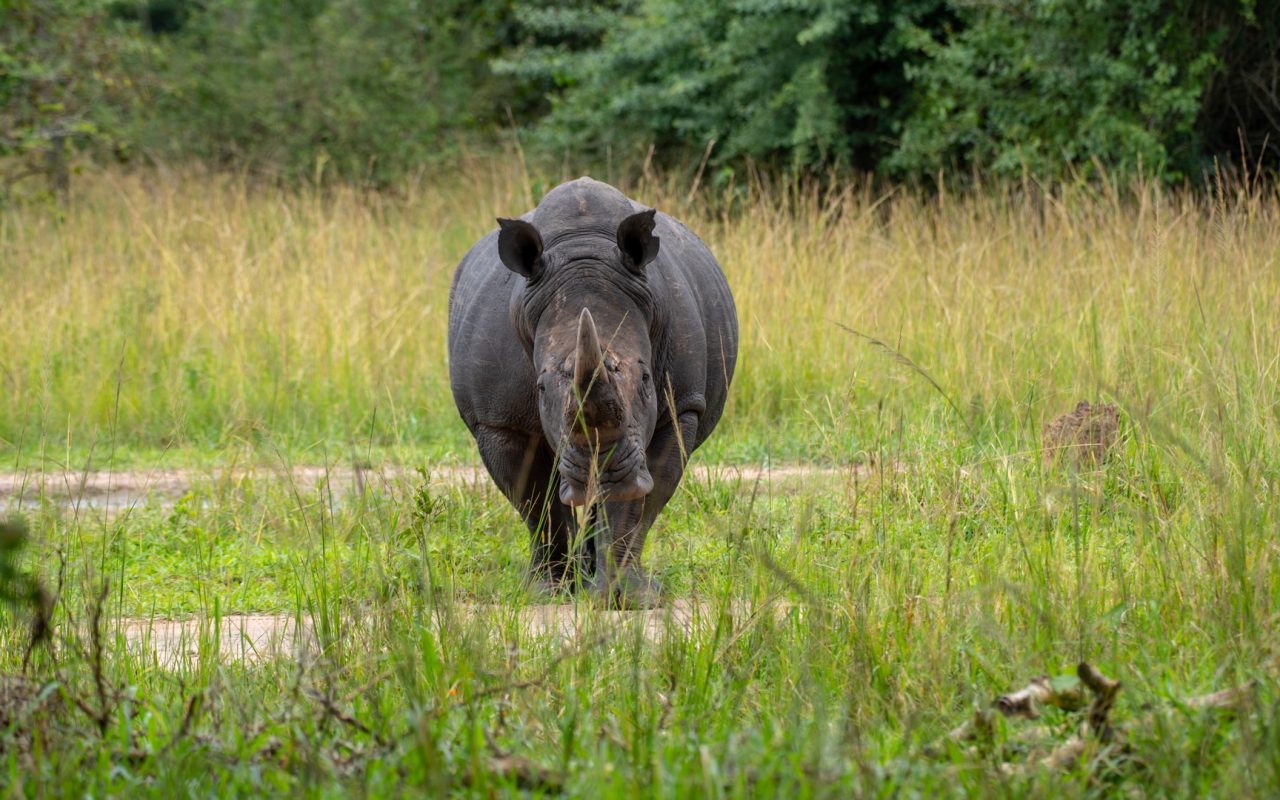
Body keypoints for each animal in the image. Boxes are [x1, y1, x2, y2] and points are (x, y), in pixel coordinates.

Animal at [450, 176, 737, 604]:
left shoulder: (680, 406)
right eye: (540, 388)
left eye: (647, 380)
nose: (599, 468)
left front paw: (627, 599)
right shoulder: (499, 419)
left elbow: (639, 502)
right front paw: (547, 591)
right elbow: (537, 503)